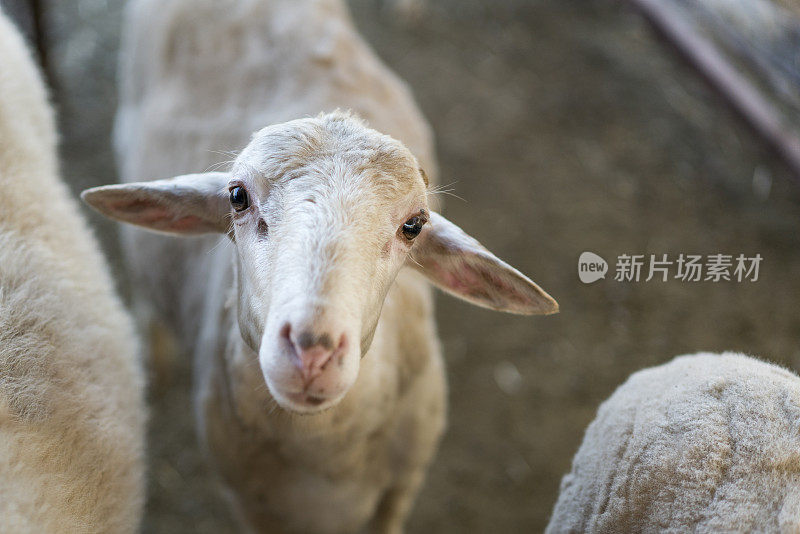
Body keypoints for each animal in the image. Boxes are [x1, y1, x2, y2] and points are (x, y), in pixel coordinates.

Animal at [81, 1, 556, 532]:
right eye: (237, 196)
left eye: (413, 225)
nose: (312, 349)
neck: (323, 451)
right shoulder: (246, 500)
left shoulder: (402, 484)